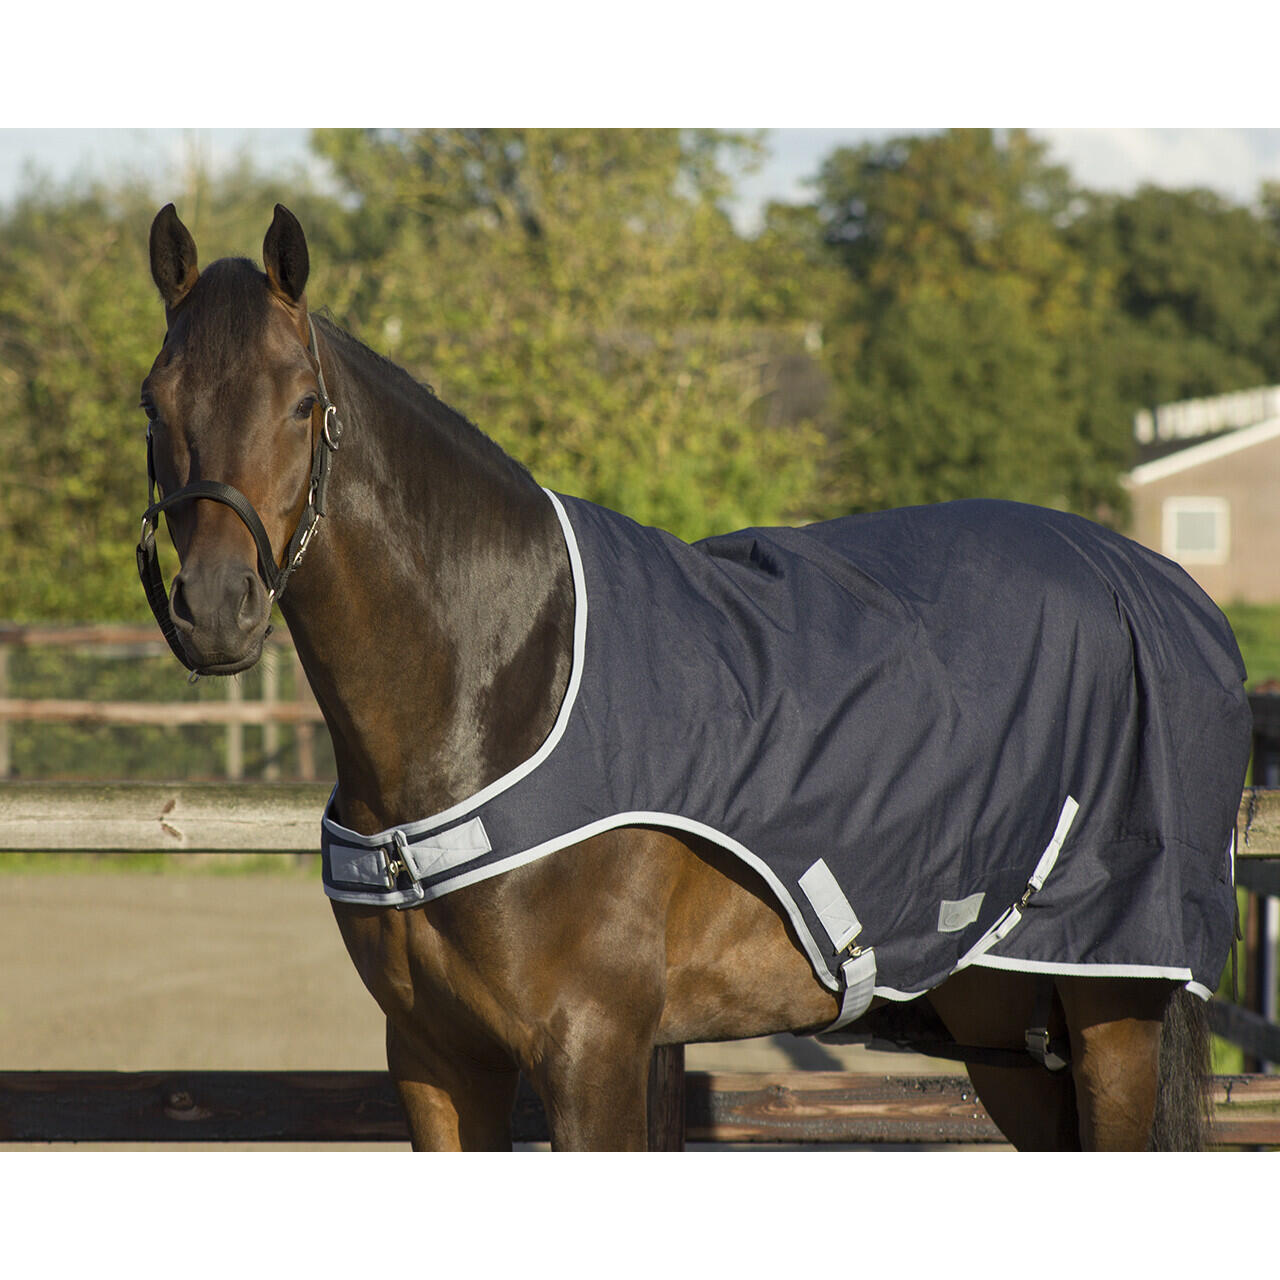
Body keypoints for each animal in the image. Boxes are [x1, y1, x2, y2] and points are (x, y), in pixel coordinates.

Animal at [137, 202, 1251, 1150]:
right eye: (154, 401)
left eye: (301, 403)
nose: (216, 604)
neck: (499, 688)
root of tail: (1159, 583)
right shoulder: (435, 1057)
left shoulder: (592, 1048)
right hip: (1002, 1016)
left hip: (1109, 1007)